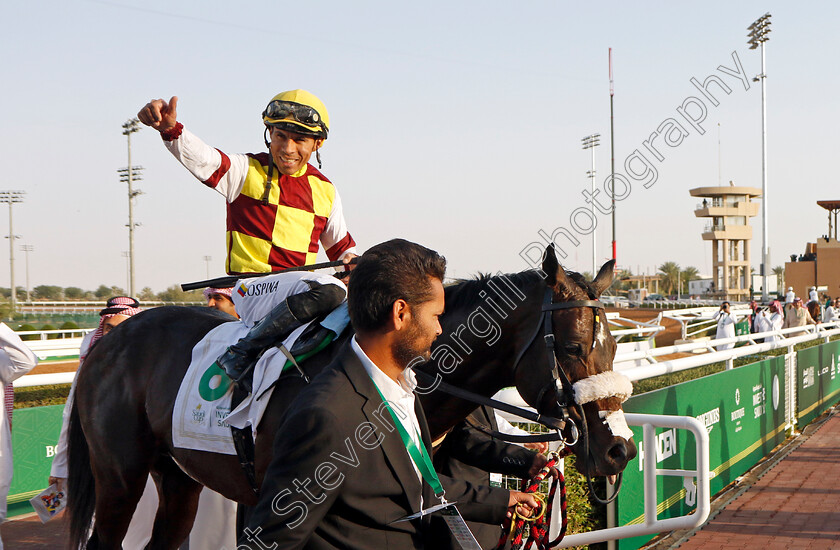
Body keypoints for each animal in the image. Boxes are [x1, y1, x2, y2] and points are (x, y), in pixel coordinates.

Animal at [67, 250, 636, 550]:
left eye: (615, 345)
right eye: (572, 347)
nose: (620, 449)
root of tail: (110, 342)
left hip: (178, 475)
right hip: (120, 475)